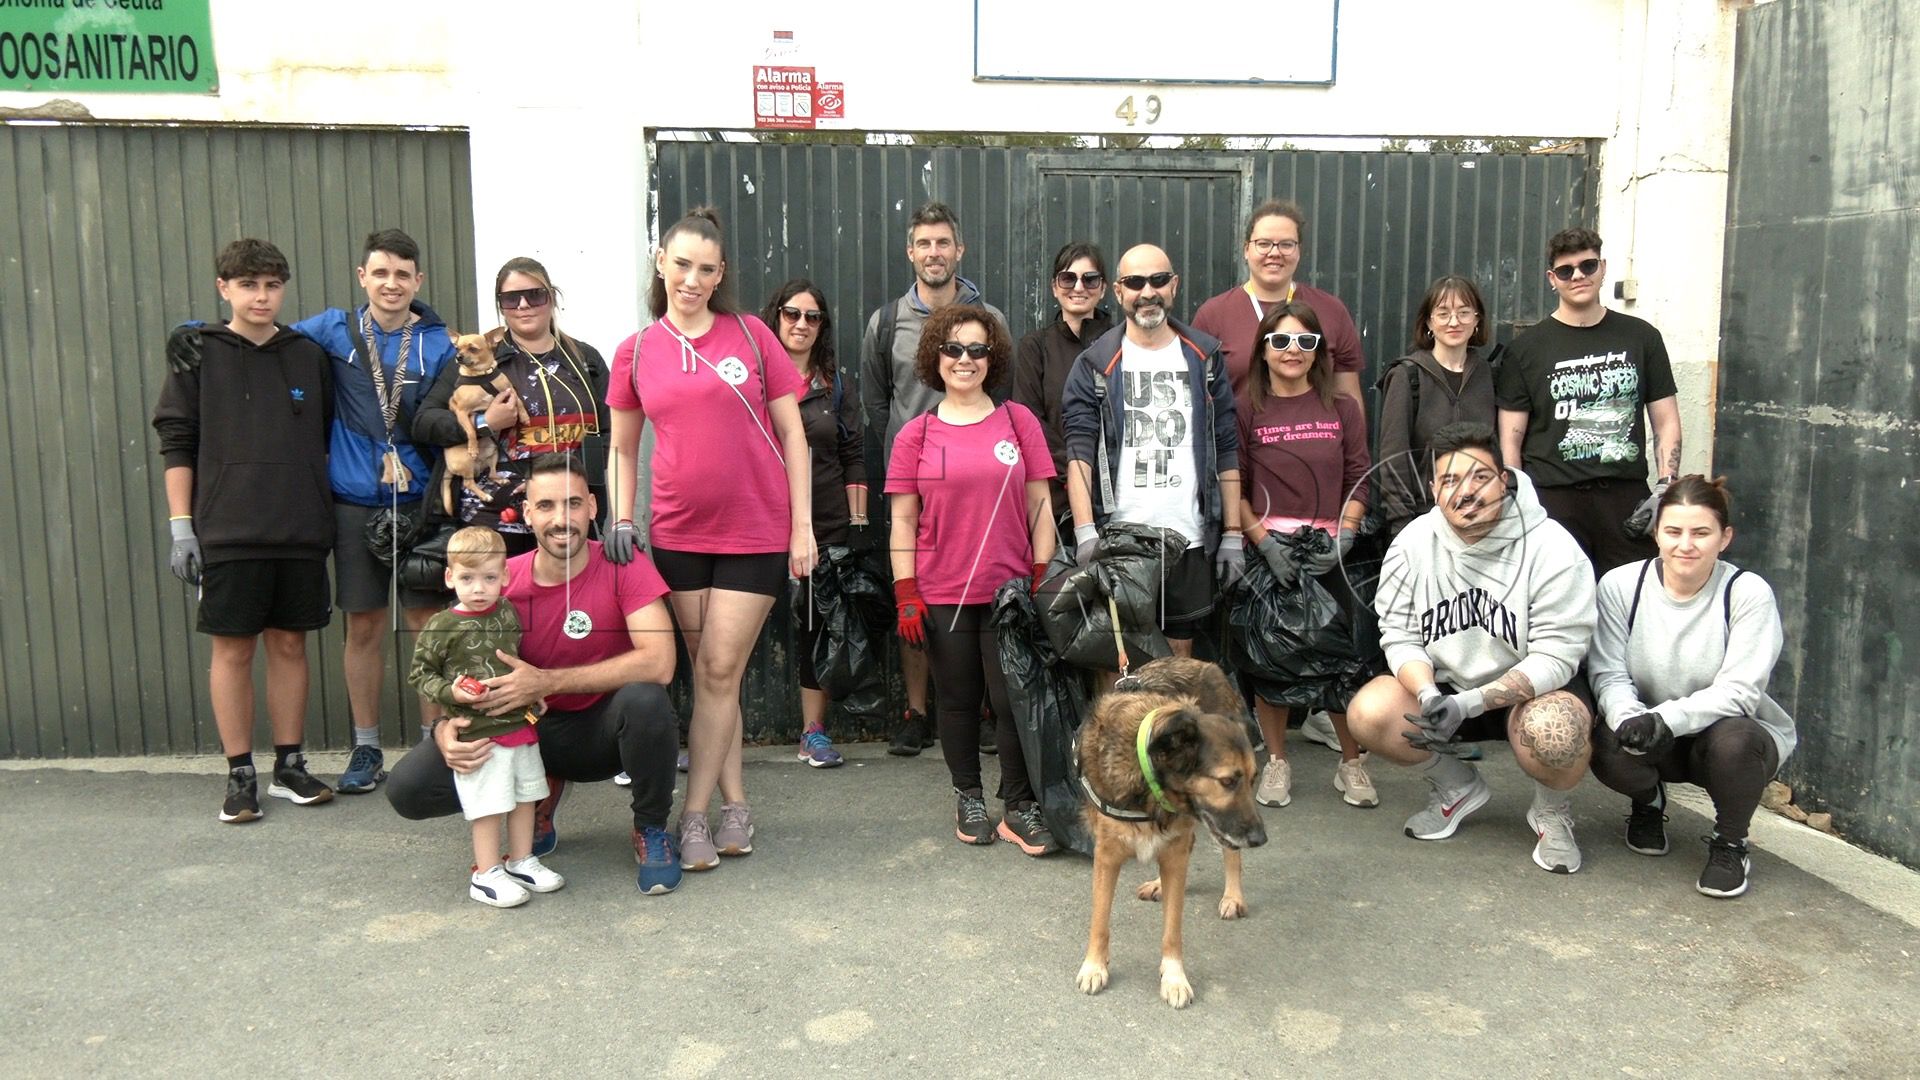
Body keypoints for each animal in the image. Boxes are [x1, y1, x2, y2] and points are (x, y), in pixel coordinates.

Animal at [1075, 657, 1267, 1006]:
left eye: (1251, 779)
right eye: (1228, 781)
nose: (1261, 839)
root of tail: (1205, 664)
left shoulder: (1176, 851)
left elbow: (1173, 929)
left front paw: (1175, 978)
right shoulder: (1106, 856)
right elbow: (1100, 919)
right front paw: (1094, 966)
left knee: (1229, 854)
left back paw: (1233, 896)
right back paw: (1159, 884)